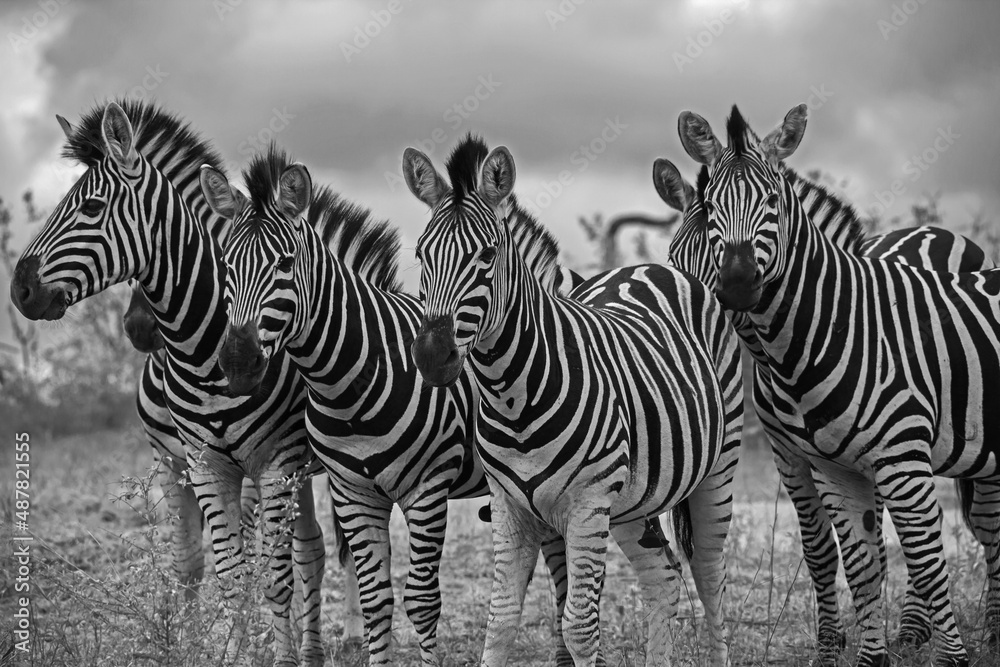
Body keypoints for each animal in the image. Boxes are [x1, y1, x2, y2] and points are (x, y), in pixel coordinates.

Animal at [10, 100, 334, 666]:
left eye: (90, 207)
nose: (19, 289)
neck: (201, 352)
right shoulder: (193, 464)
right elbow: (219, 574)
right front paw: (218, 651)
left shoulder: (273, 462)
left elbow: (271, 578)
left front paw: (272, 653)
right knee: (309, 547)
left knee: (319, 551)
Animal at [203, 145, 576, 666]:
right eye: (226, 265)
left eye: (285, 263)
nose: (237, 363)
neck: (348, 384)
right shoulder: (352, 490)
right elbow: (376, 598)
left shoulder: (429, 487)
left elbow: (421, 600)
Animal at [404, 135, 744, 666]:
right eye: (421, 255)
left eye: (488, 254)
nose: (432, 356)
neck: (512, 397)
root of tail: (652, 266)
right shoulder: (509, 508)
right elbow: (499, 622)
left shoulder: (587, 503)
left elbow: (580, 628)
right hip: (633, 500)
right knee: (663, 577)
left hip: (716, 468)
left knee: (709, 574)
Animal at [677, 103, 1000, 667]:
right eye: (712, 207)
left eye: (773, 201)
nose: (735, 284)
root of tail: (937, 231)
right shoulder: (814, 460)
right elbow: (852, 556)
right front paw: (859, 651)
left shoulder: (896, 455)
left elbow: (923, 557)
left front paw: (947, 656)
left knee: (981, 529)